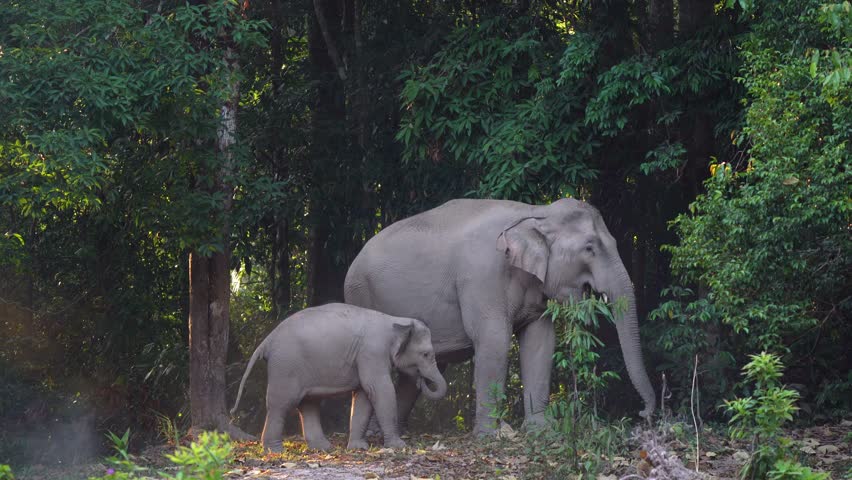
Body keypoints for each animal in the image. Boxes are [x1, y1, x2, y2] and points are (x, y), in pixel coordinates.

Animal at [230, 303, 448, 451]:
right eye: (426, 354)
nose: (421, 379)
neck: (395, 319)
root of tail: (267, 340)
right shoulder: (372, 352)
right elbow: (380, 389)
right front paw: (398, 446)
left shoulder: (366, 356)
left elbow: (364, 395)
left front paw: (359, 448)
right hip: (285, 366)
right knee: (281, 404)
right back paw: (274, 450)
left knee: (308, 403)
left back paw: (323, 448)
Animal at [344, 198, 656, 436]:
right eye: (589, 248)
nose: (643, 413)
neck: (535, 213)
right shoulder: (482, 277)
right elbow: (494, 340)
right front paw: (490, 436)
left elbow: (540, 342)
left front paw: (541, 430)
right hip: (362, 295)